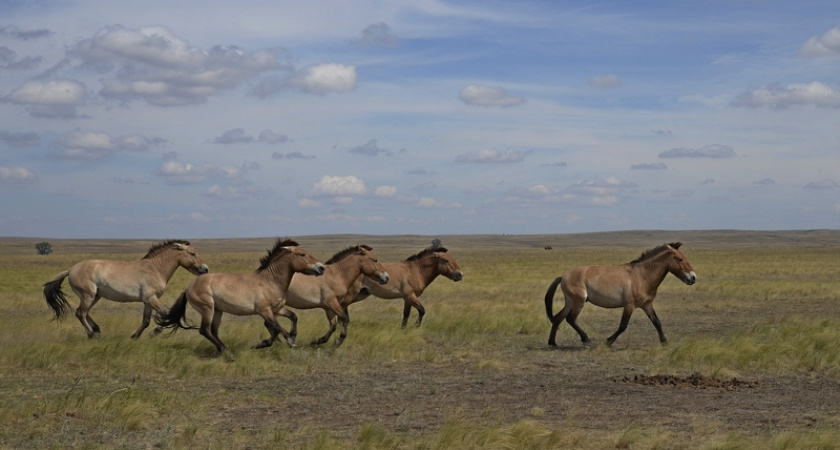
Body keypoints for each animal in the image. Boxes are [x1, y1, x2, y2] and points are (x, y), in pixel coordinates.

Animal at [41, 239, 209, 338]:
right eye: (192, 253)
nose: (205, 269)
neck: (155, 269)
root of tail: (71, 269)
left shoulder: (148, 302)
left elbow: (146, 320)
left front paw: (135, 336)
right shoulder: (151, 299)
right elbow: (165, 314)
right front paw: (155, 332)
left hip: (95, 296)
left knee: (84, 312)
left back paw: (96, 329)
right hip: (88, 295)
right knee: (80, 313)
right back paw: (92, 334)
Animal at [156, 237, 326, 354]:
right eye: (302, 254)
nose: (321, 267)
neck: (269, 281)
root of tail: (188, 288)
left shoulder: (277, 309)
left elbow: (293, 317)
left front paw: (292, 339)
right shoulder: (264, 311)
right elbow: (276, 328)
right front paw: (260, 344)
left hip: (218, 311)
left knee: (213, 331)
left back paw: (223, 349)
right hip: (207, 309)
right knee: (205, 330)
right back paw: (227, 352)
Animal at [544, 243, 696, 348]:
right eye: (680, 259)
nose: (693, 278)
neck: (642, 276)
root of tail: (563, 276)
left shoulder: (647, 305)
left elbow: (657, 322)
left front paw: (665, 342)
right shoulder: (629, 306)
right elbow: (623, 326)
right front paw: (608, 342)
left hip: (570, 302)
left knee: (558, 318)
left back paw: (553, 343)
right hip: (578, 302)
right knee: (570, 319)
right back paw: (586, 340)